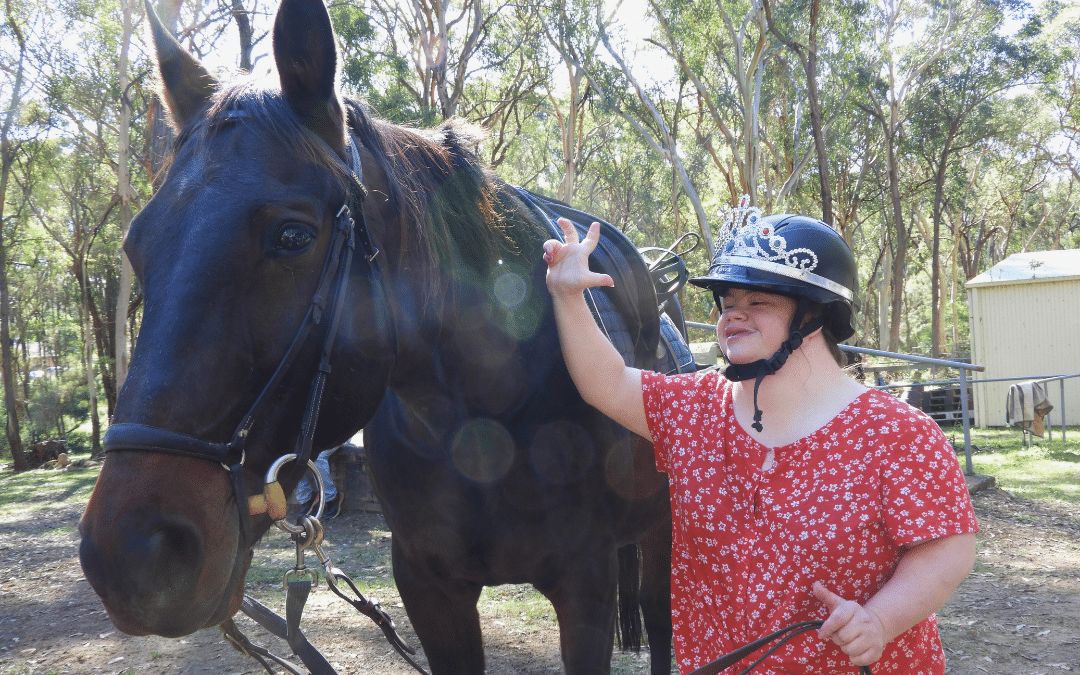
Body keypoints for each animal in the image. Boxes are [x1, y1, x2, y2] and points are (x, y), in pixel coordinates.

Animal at [76, 2, 686, 669]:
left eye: (293, 235)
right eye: (137, 244)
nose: (130, 557)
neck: (485, 422)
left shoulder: (586, 587)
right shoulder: (428, 589)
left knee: (660, 623)